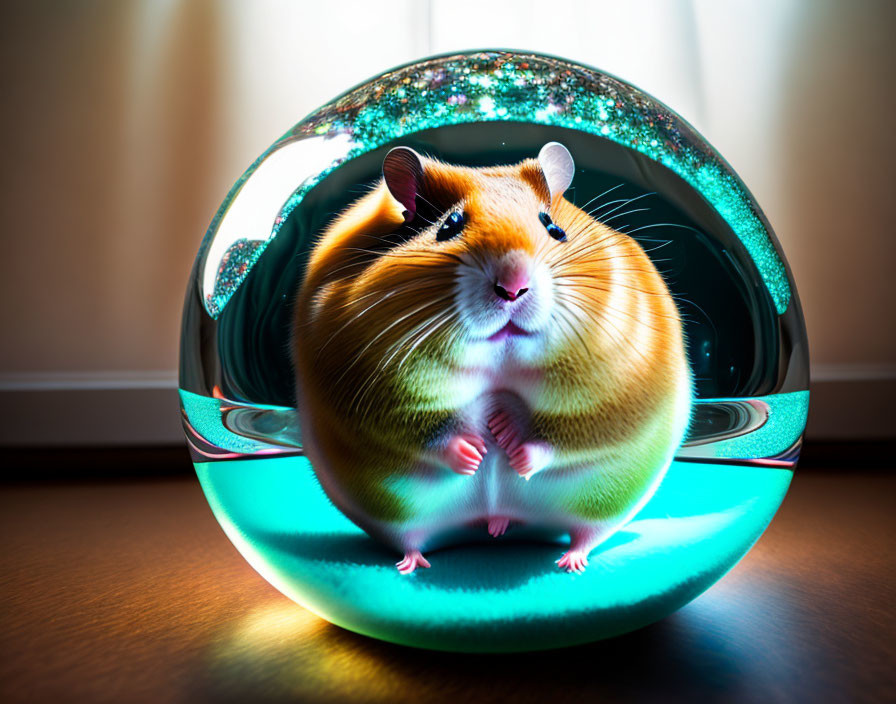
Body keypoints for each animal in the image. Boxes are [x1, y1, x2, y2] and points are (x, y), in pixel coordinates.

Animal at [294, 142, 692, 572]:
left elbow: (563, 437)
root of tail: (494, 520)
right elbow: (424, 431)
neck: (501, 354)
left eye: (554, 229)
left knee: (586, 533)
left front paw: (505, 438)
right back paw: (413, 564)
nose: (513, 287)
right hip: (395, 515)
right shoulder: (373, 402)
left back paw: (568, 560)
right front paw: (477, 451)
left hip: (603, 505)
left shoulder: (614, 396)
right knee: (409, 539)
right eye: (449, 226)